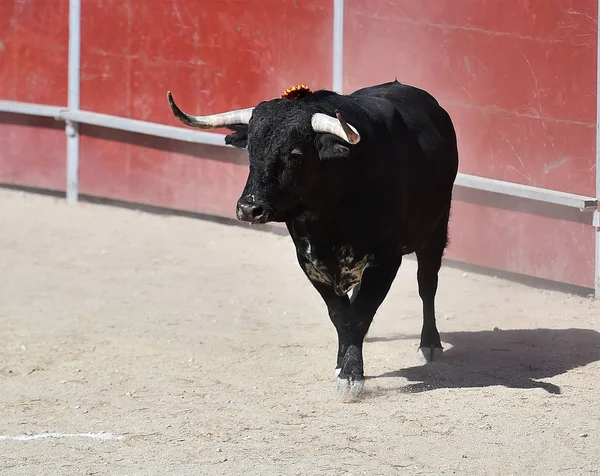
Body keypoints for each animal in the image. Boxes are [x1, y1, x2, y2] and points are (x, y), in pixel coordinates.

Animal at [166, 80, 458, 396]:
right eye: (251, 150)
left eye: (295, 154)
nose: (249, 209)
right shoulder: (310, 262)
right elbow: (341, 315)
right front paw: (342, 366)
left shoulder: (385, 259)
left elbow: (360, 314)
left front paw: (351, 376)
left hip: (437, 228)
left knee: (427, 285)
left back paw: (430, 344)